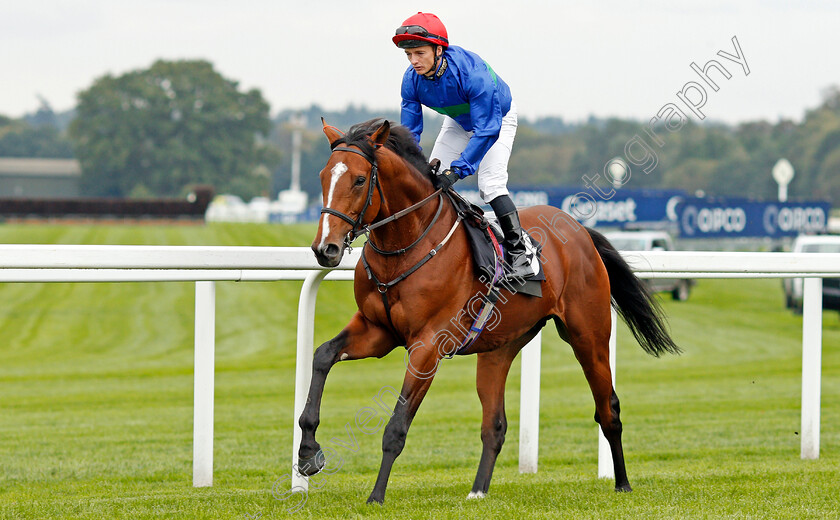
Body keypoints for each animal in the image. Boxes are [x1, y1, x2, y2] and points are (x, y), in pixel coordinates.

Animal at [298, 117, 680, 504]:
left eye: (360, 180)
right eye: (323, 176)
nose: (325, 249)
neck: (405, 247)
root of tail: (579, 230)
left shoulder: (428, 345)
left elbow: (396, 425)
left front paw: (376, 495)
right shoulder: (377, 330)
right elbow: (323, 355)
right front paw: (308, 452)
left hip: (589, 335)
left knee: (608, 409)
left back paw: (622, 482)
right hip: (500, 348)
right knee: (494, 425)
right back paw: (478, 491)